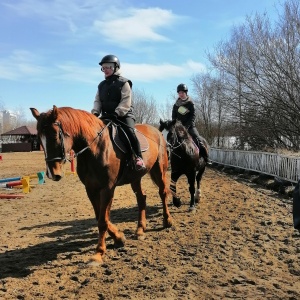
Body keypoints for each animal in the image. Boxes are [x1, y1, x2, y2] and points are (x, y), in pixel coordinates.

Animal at [29, 106, 173, 264]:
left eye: (55, 135)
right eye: (39, 138)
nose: (52, 173)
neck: (95, 148)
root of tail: (157, 131)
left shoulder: (107, 189)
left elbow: (103, 220)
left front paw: (99, 253)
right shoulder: (91, 189)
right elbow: (100, 217)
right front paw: (119, 238)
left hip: (159, 170)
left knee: (163, 193)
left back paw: (167, 221)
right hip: (135, 178)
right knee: (141, 198)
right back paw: (140, 230)